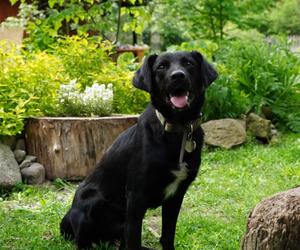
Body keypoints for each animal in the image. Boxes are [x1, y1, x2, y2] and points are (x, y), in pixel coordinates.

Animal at [59, 49, 217, 249]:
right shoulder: (136, 197)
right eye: (161, 66)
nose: (178, 76)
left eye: (188, 63)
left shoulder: (176, 196)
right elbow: (134, 239)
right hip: (91, 201)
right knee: (84, 241)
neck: (177, 129)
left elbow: (167, 236)